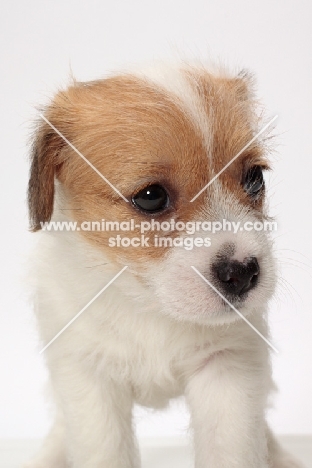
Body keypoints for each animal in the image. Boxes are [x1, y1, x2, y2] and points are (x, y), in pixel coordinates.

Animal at [25, 62, 304, 468]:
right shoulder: (89, 378)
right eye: (151, 197)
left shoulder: (227, 368)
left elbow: (232, 450)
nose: (243, 273)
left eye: (254, 178)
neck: (148, 306)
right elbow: (103, 450)